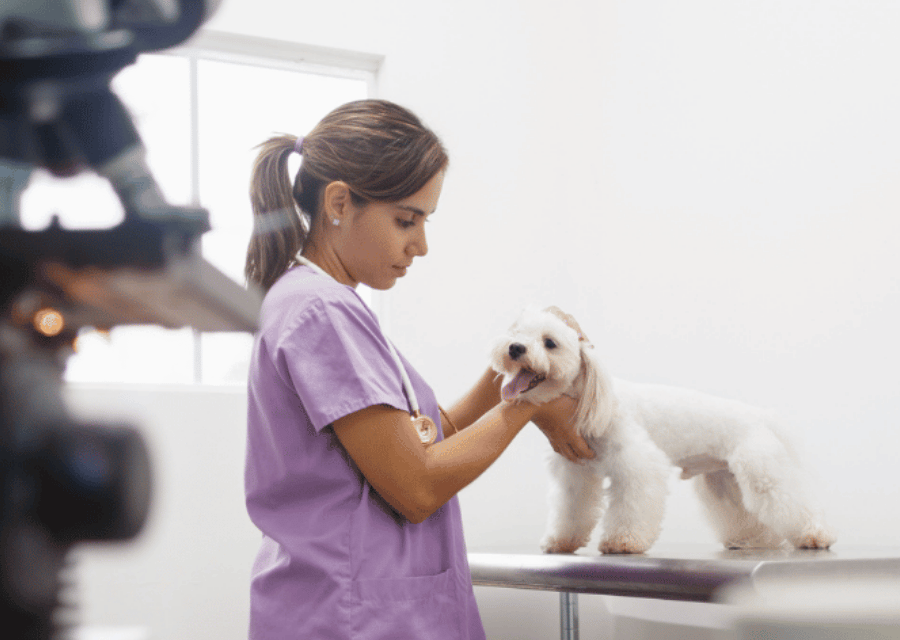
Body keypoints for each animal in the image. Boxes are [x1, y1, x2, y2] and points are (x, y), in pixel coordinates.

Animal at [492, 308, 836, 552]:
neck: (593, 400)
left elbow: (632, 505)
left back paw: (815, 535)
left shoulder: (637, 465)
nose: (515, 347)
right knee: (746, 515)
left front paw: (623, 542)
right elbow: (571, 508)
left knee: (791, 502)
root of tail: (761, 415)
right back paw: (750, 541)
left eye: (550, 343)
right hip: (724, 481)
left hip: (762, 473)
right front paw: (561, 541)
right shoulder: (575, 473)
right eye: (516, 332)